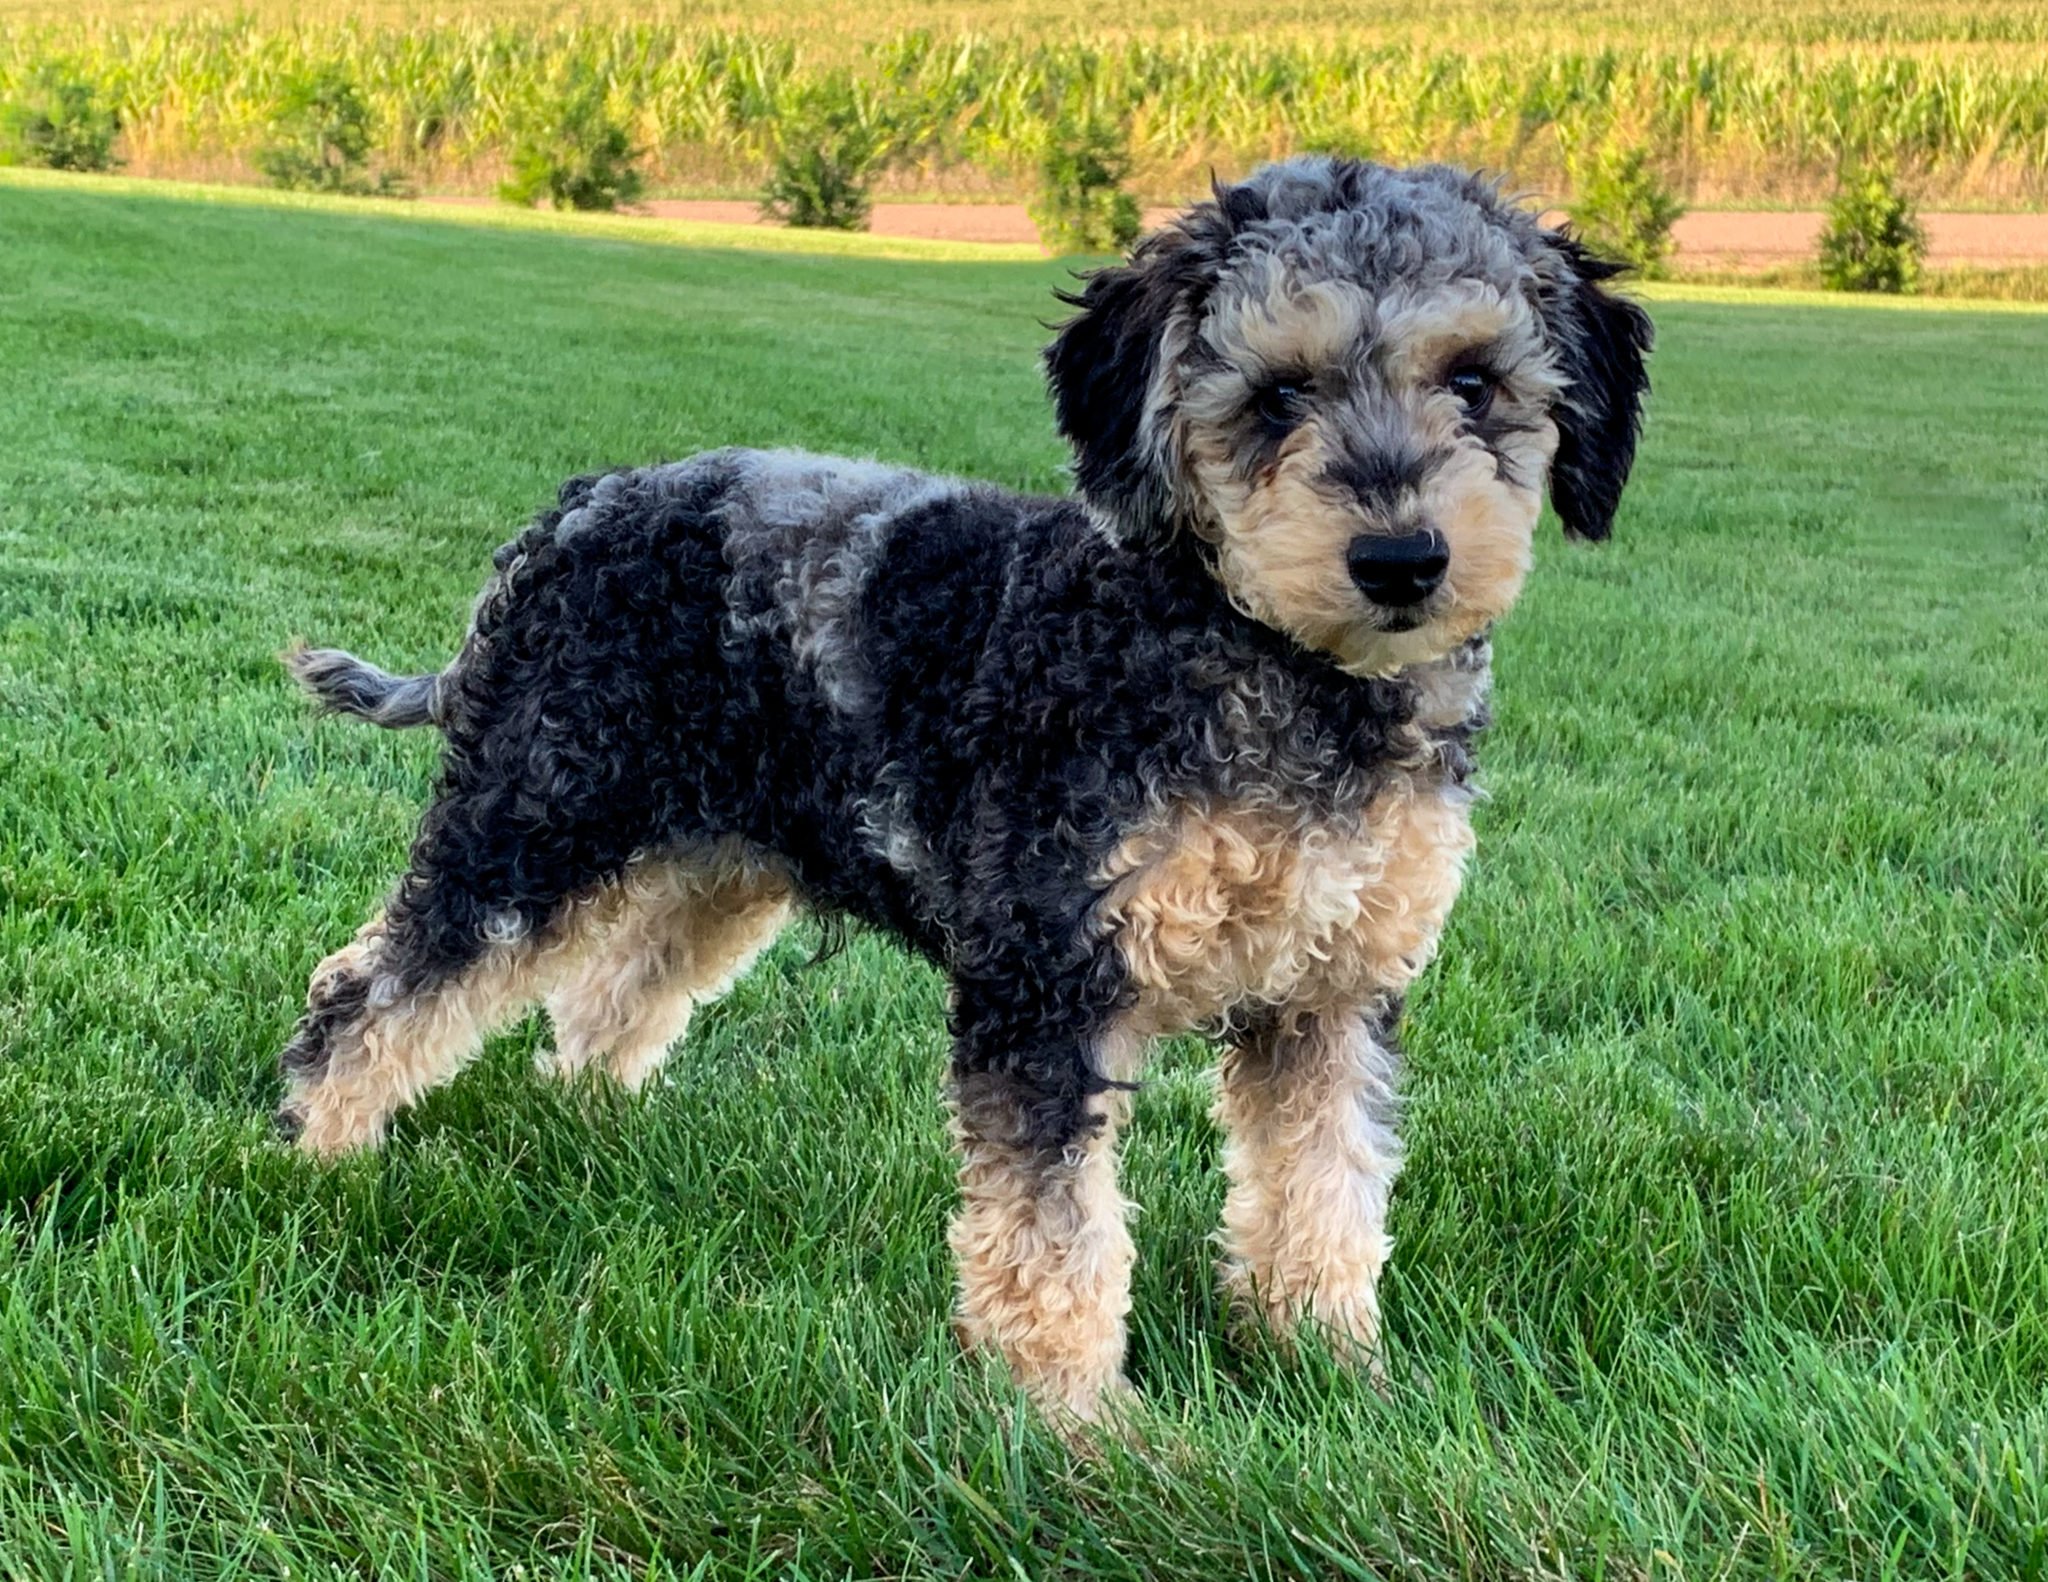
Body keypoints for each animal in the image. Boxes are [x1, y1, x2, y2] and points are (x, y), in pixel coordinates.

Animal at [272, 157, 1646, 1418]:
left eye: (1473, 381)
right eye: (1276, 394)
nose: (1401, 559)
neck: (1268, 662)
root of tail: (562, 521)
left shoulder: (1329, 992)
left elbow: (1323, 1192)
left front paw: (1328, 1371)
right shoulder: (1046, 976)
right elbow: (1053, 1235)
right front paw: (1077, 1427)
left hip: (712, 863)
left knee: (608, 1000)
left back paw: (586, 1129)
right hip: (537, 821)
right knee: (375, 991)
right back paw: (318, 1160)